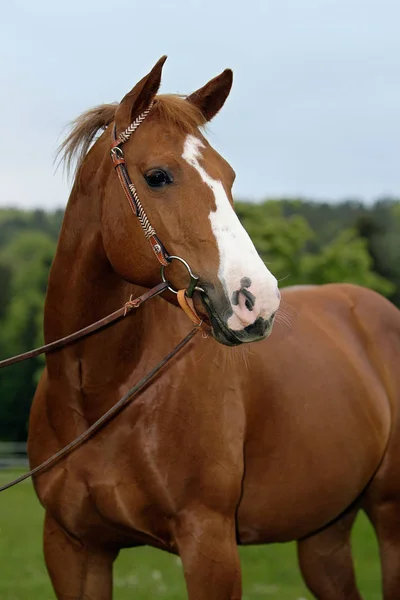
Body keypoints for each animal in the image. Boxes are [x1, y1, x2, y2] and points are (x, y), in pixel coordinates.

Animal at [29, 56, 400, 600]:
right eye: (158, 175)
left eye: (228, 177)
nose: (258, 301)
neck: (99, 396)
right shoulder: (72, 549)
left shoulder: (209, 542)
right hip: (324, 533)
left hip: (390, 516)